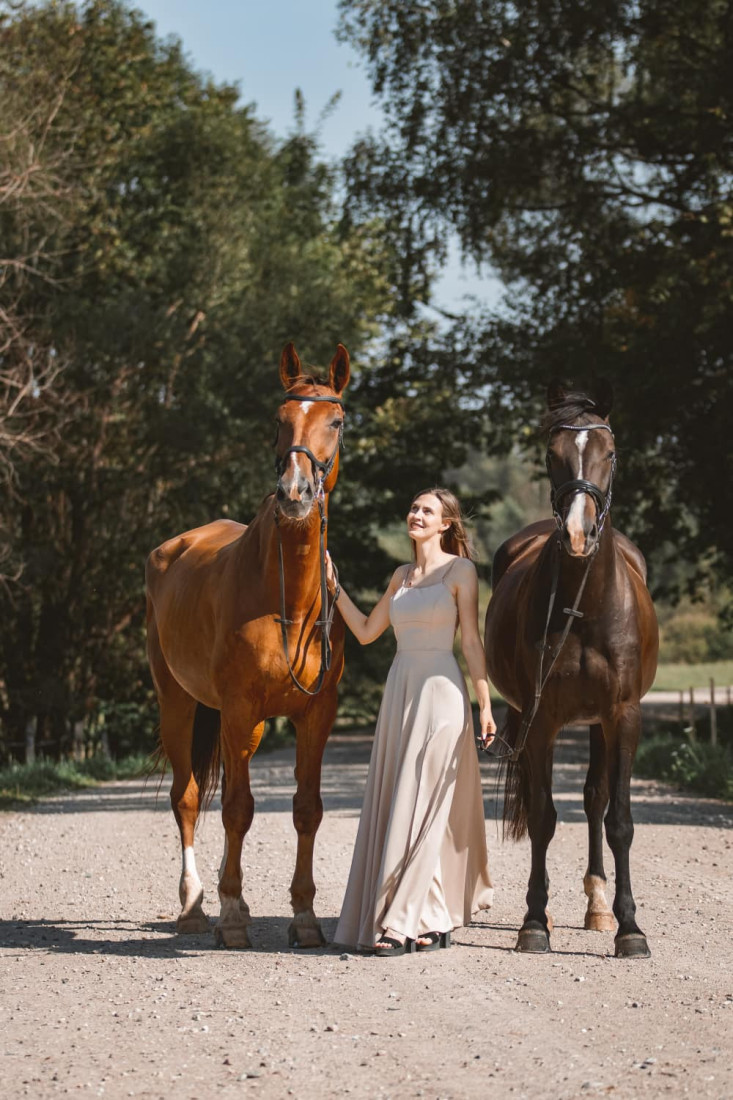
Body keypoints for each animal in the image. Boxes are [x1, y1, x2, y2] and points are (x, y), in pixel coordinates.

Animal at [145, 342, 349, 948]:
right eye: (279, 420)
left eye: (336, 421)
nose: (294, 494)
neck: (288, 601)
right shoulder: (237, 708)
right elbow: (236, 809)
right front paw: (233, 914)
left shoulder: (315, 715)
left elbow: (307, 810)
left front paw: (304, 917)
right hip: (179, 703)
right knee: (188, 799)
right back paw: (195, 906)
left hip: (246, 725)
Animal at [484, 381, 659, 958]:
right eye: (550, 454)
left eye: (611, 453)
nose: (579, 534)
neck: (585, 603)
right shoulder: (541, 719)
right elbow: (542, 817)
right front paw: (534, 922)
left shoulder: (623, 716)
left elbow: (619, 819)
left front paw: (630, 928)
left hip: (601, 725)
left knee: (594, 800)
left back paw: (599, 907)